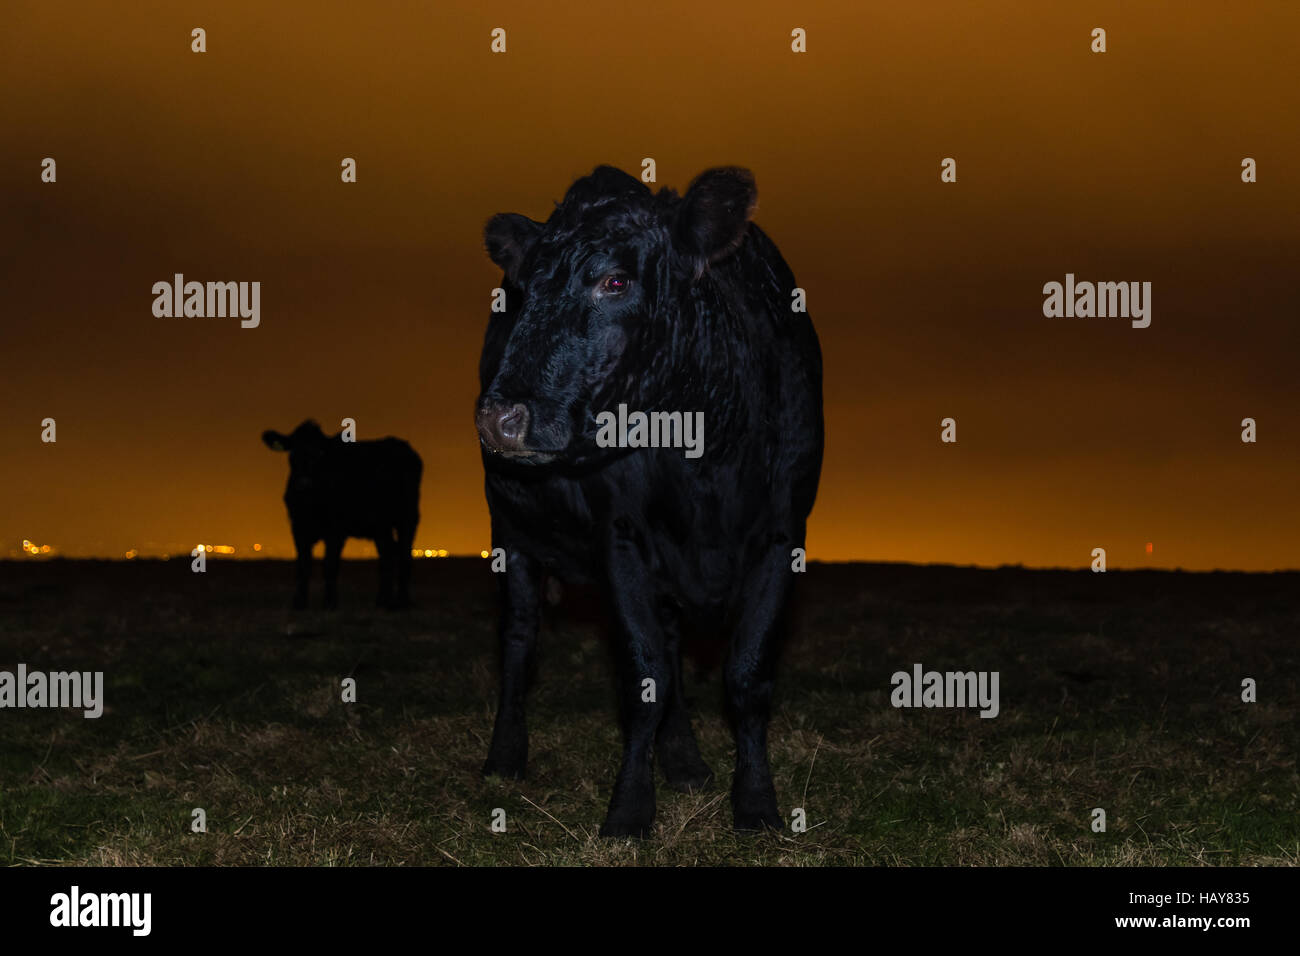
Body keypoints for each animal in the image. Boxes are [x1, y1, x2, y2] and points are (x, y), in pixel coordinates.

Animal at [261, 421, 423, 613]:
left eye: (321, 453)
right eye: (292, 452)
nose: (304, 484)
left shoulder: (336, 530)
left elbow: (330, 565)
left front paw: (329, 603)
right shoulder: (298, 527)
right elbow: (303, 565)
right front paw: (299, 603)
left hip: (408, 518)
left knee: (405, 554)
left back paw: (402, 601)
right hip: (380, 526)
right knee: (387, 555)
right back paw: (383, 601)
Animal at [475, 166, 821, 837]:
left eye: (615, 280)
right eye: (526, 288)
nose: (500, 418)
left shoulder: (782, 534)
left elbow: (746, 674)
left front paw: (756, 802)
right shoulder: (623, 536)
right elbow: (644, 674)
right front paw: (630, 809)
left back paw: (685, 761)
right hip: (511, 532)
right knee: (520, 640)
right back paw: (504, 757)